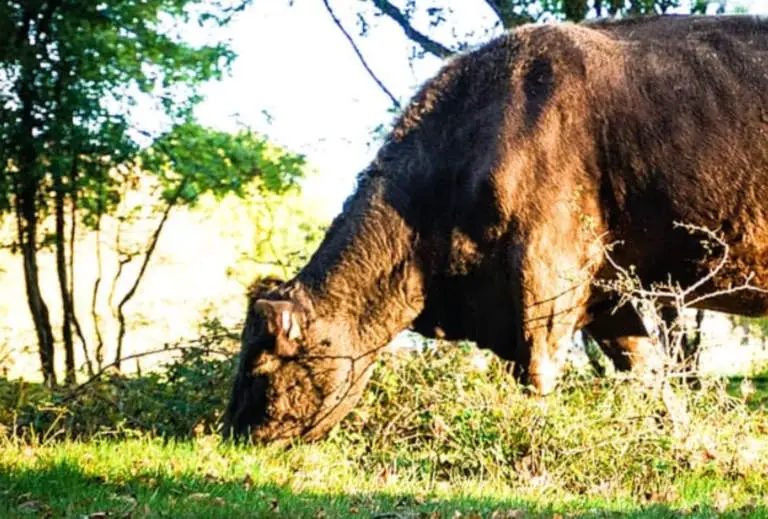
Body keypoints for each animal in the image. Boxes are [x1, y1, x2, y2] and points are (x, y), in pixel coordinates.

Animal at [222, 17, 768, 446]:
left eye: (258, 364)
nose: (228, 432)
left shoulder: (548, 278)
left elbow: (538, 376)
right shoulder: (605, 290)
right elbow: (646, 370)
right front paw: (687, 444)